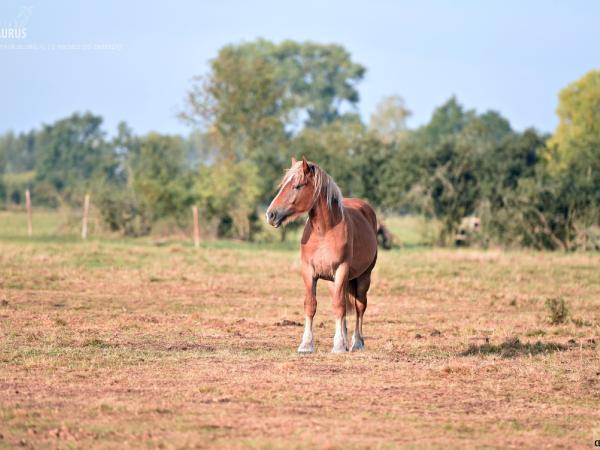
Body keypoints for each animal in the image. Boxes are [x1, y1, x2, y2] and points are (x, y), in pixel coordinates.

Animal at [266, 156, 378, 354]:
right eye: (282, 185)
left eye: (297, 186)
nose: (271, 215)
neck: (324, 232)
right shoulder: (309, 272)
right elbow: (311, 305)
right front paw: (306, 345)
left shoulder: (341, 270)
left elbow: (340, 307)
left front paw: (339, 346)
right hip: (333, 283)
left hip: (364, 277)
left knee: (359, 306)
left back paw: (356, 343)